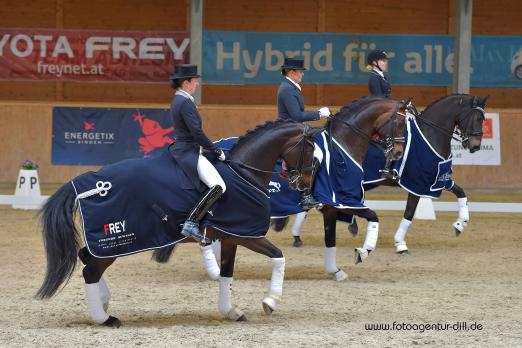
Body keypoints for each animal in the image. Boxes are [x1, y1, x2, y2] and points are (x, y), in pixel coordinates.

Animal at [35, 120, 316, 326]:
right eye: (312, 150)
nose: (305, 184)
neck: (244, 172)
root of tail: (84, 184)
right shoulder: (248, 236)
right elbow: (279, 257)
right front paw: (270, 301)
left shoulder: (230, 237)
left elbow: (227, 275)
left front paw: (231, 311)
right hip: (114, 243)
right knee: (90, 270)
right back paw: (104, 318)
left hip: (105, 245)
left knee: (86, 258)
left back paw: (104, 302)